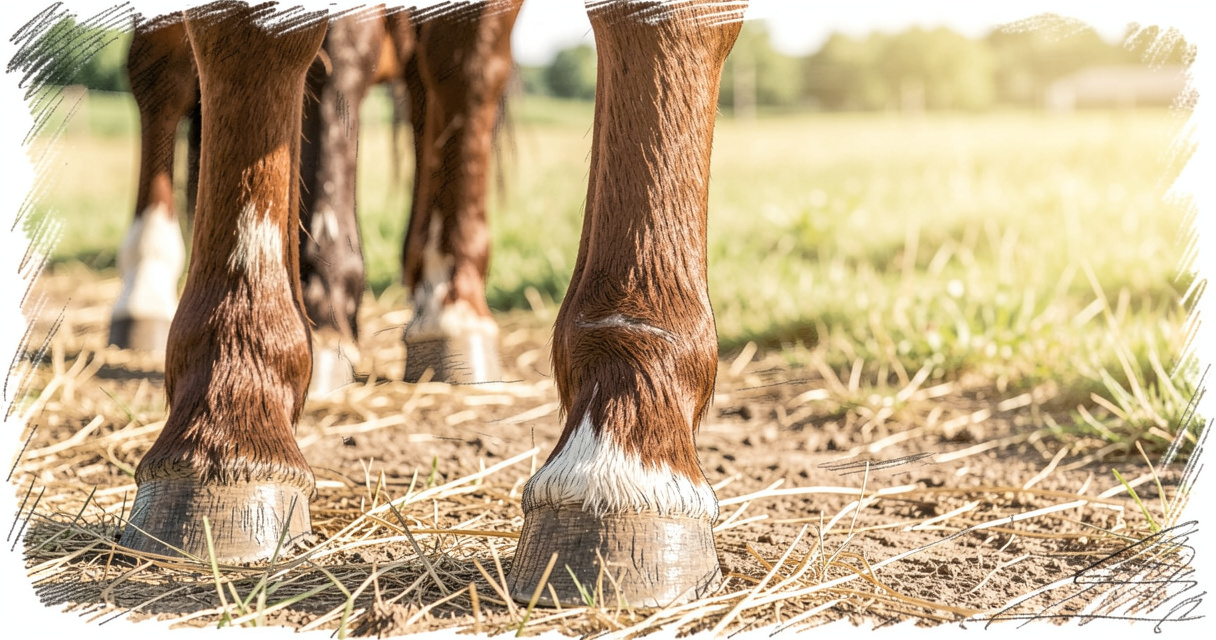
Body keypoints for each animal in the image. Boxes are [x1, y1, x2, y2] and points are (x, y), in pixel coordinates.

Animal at [120, 0, 742, 608]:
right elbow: (252, 35)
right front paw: (228, 412)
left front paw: (623, 454)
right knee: (173, 73)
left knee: (450, 70)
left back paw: (441, 313)